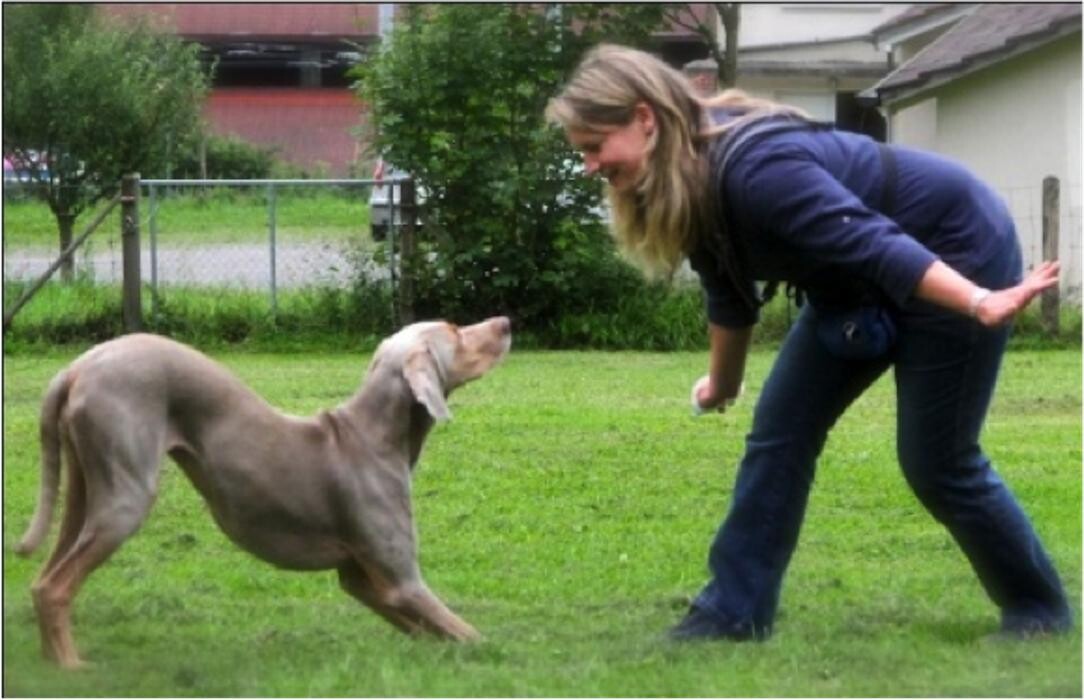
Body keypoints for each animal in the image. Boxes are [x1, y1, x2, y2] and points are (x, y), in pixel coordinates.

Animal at [13, 318, 511, 667]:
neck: (372, 435)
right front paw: (503, 659)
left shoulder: (363, 581)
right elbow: (471, 634)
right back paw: (73, 667)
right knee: (55, 588)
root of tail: (76, 367)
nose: (507, 321)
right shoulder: (404, 583)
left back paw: (50, 661)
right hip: (126, 500)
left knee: (41, 583)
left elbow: (430, 630)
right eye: (454, 330)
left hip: (83, 493)